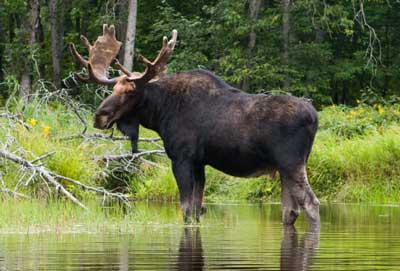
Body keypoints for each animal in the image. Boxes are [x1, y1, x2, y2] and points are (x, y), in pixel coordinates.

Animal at [70, 25, 320, 230]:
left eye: (130, 92)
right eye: (112, 90)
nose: (99, 116)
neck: (160, 113)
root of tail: (315, 118)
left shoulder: (181, 157)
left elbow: (187, 210)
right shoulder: (200, 162)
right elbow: (198, 209)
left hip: (291, 162)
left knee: (311, 204)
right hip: (286, 168)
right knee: (290, 211)